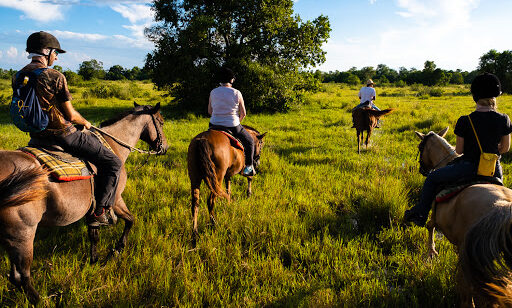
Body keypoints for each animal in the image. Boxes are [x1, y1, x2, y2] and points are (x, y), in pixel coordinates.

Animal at [0, 101, 169, 304]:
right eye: (160, 121)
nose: (165, 147)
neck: (114, 145)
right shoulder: (115, 200)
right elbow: (130, 220)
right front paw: (117, 250)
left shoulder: (93, 210)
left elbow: (93, 234)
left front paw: (94, 260)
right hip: (22, 235)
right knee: (21, 276)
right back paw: (41, 301)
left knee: (15, 277)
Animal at [414, 127, 512, 306]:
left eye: (420, 147)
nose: (422, 170)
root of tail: (503, 208)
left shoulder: (434, 212)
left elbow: (430, 226)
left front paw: (432, 252)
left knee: (468, 292)